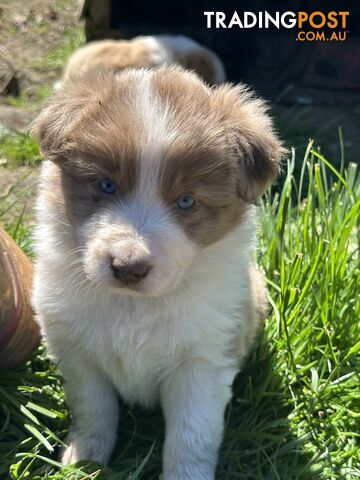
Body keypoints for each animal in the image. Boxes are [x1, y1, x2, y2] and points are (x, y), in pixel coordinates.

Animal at [31, 64, 284, 480]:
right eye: (106, 185)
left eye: (186, 201)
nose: (128, 267)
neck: (133, 306)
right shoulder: (77, 352)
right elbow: (93, 408)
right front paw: (85, 461)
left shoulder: (202, 364)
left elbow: (191, 437)